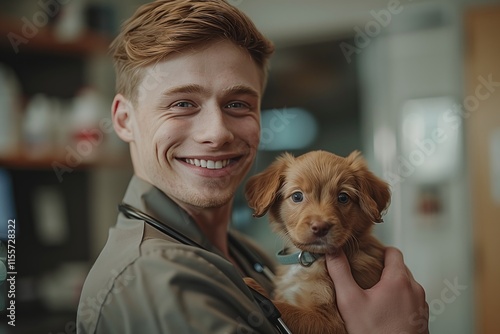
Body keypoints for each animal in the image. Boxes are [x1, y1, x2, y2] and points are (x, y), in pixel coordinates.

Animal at [243, 150, 390, 332]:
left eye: (343, 197)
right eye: (297, 196)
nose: (320, 227)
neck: (310, 260)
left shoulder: (330, 321)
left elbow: (287, 309)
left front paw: (249, 282)